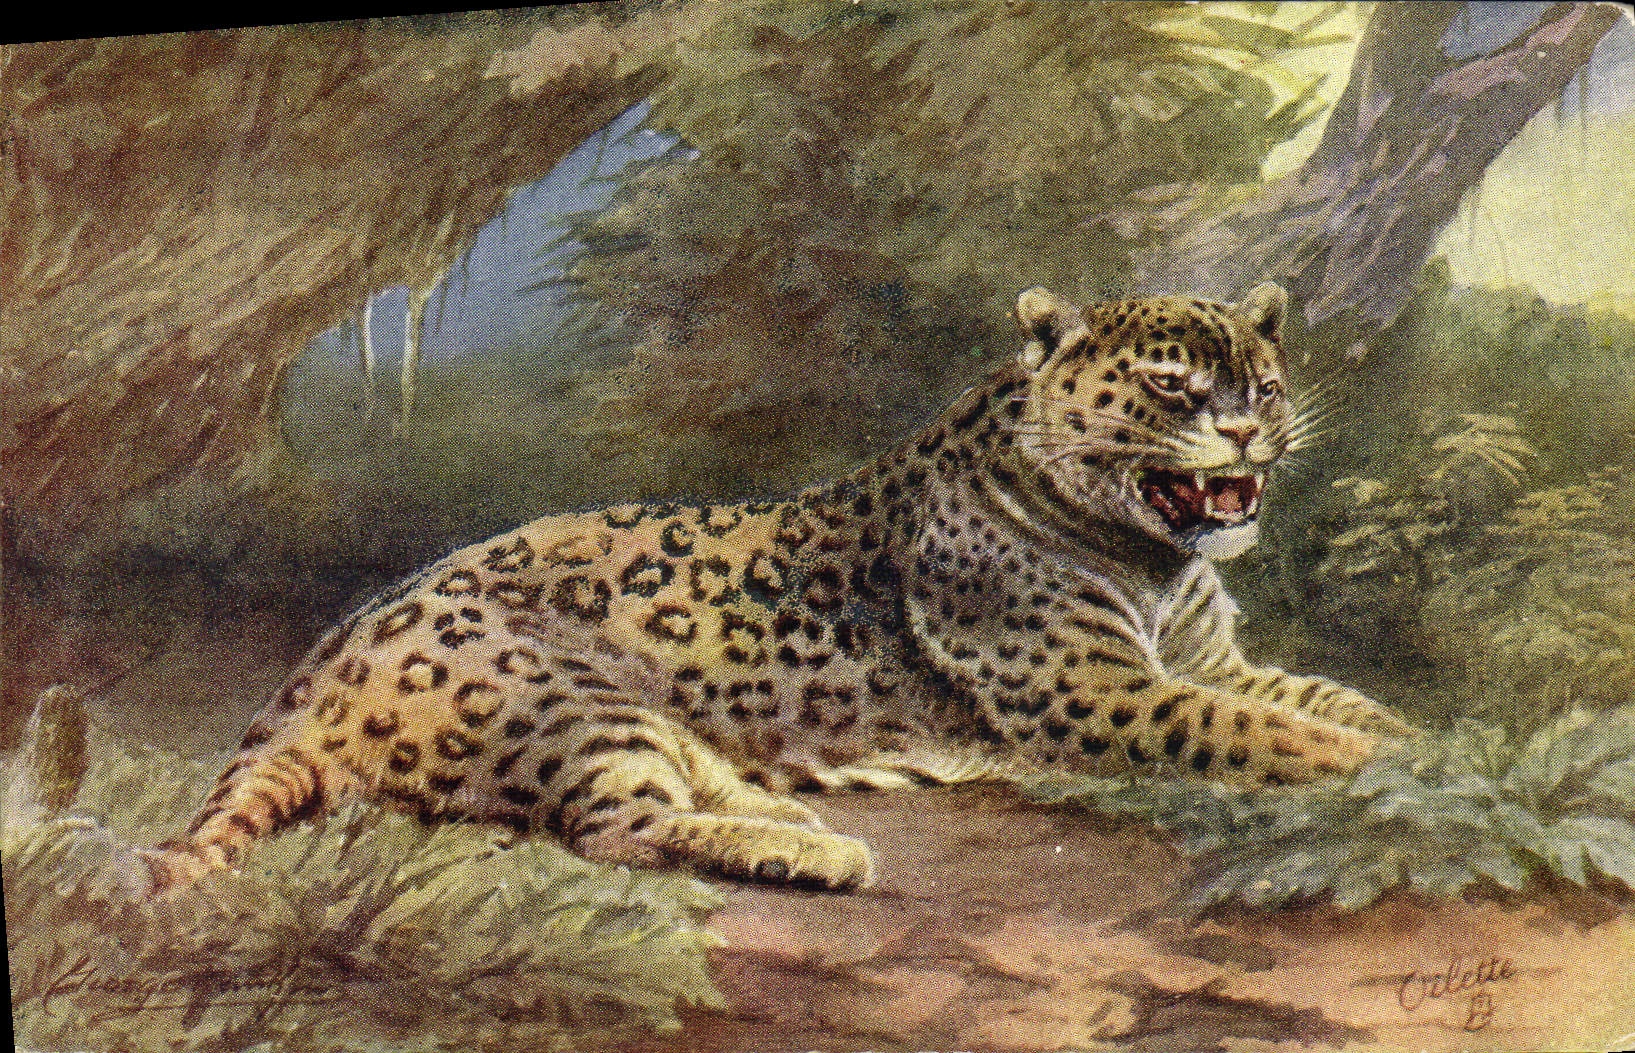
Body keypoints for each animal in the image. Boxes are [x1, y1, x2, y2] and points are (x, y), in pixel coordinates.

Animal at [143, 281, 1411, 894]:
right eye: (1170, 386)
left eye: (1263, 380)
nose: (1251, 431)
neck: (1156, 560)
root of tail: (311, 670)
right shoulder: (1097, 694)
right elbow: (1256, 733)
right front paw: (1375, 768)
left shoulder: (1210, 660)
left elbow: (1316, 700)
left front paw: (1421, 738)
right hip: (570, 700)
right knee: (614, 828)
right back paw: (815, 854)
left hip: (645, 718)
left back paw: (787, 812)